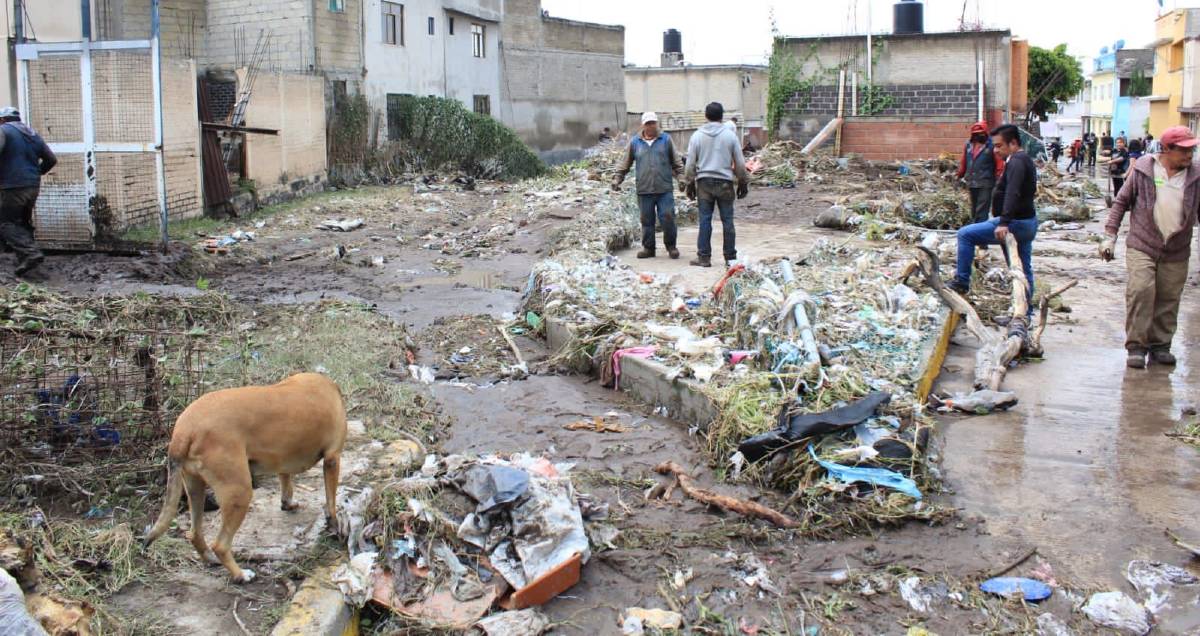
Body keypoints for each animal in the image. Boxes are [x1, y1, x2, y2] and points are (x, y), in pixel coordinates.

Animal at [142, 374, 348, 580]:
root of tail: (184, 431)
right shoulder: (332, 459)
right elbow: (330, 502)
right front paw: (334, 525)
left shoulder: (282, 459)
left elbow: (286, 482)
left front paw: (287, 503)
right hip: (239, 492)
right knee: (220, 545)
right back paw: (241, 575)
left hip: (195, 489)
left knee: (195, 534)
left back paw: (210, 559)